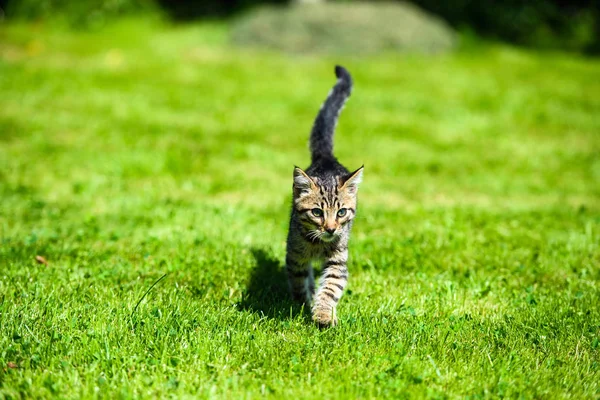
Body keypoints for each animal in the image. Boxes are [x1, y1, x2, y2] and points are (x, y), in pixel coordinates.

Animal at [288, 66, 366, 328]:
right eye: (316, 212)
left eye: (341, 212)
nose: (331, 228)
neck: (318, 244)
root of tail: (326, 158)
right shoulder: (295, 255)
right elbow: (299, 281)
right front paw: (303, 303)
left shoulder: (338, 259)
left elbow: (331, 286)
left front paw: (322, 313)